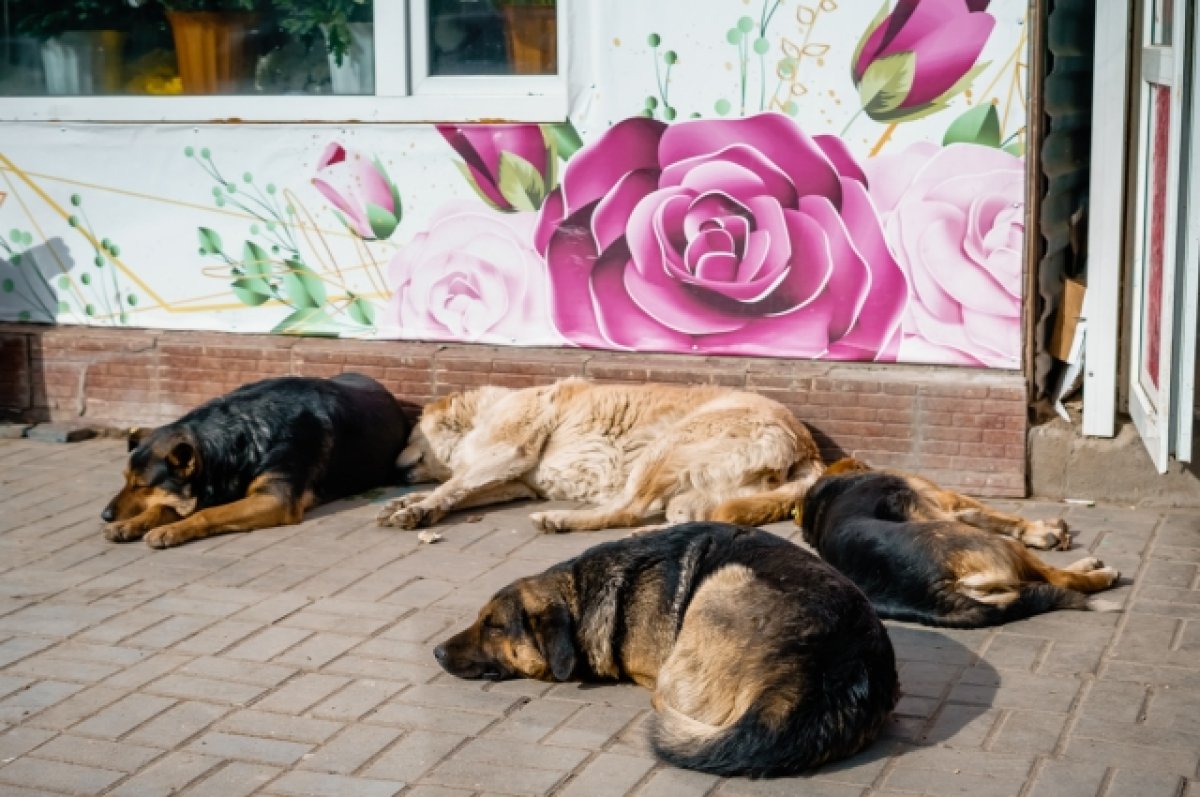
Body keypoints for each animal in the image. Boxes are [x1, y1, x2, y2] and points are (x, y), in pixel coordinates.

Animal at [99, 374, 408, 547]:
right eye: (126, 480)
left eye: (142, 485)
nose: (105, 515)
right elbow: (163, 507)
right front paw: (132, 524)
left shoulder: (274, 498)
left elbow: (207, 513)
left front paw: (171, 530)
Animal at [374, 376, 825, 532]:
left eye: (410, 432)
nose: (389, 469)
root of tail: (806, 445)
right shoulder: (514, 482)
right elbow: (458, 487)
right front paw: (406, 502)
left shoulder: (507, 455)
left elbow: (453, 484)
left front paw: (417, 509)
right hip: (701, 490)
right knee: (690, 518)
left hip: (665, 449)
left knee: (630, 509)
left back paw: (560, 519)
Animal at [436, 523, 897, 777]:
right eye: (481, 620)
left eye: (494, 626)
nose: (437, 652)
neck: (581, 595)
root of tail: (823, 673)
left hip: (720, 584)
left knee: (665, 697)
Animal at [796, 460, 1123, 628]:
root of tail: (937, 591)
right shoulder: (946, 499)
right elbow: (1000, 516)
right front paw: (1045, 531)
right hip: (989, 541)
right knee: (1058, 576)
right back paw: (1098, 572)